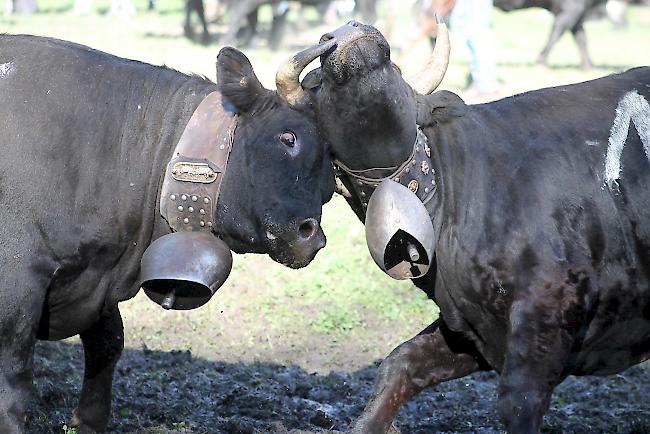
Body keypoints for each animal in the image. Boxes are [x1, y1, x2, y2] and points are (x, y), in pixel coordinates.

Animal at [0, 34, 334, 434]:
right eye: (288, 137)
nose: (313, 236)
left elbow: (108, 343)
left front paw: (89, 420)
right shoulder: (16, 286)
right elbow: (15, 382)